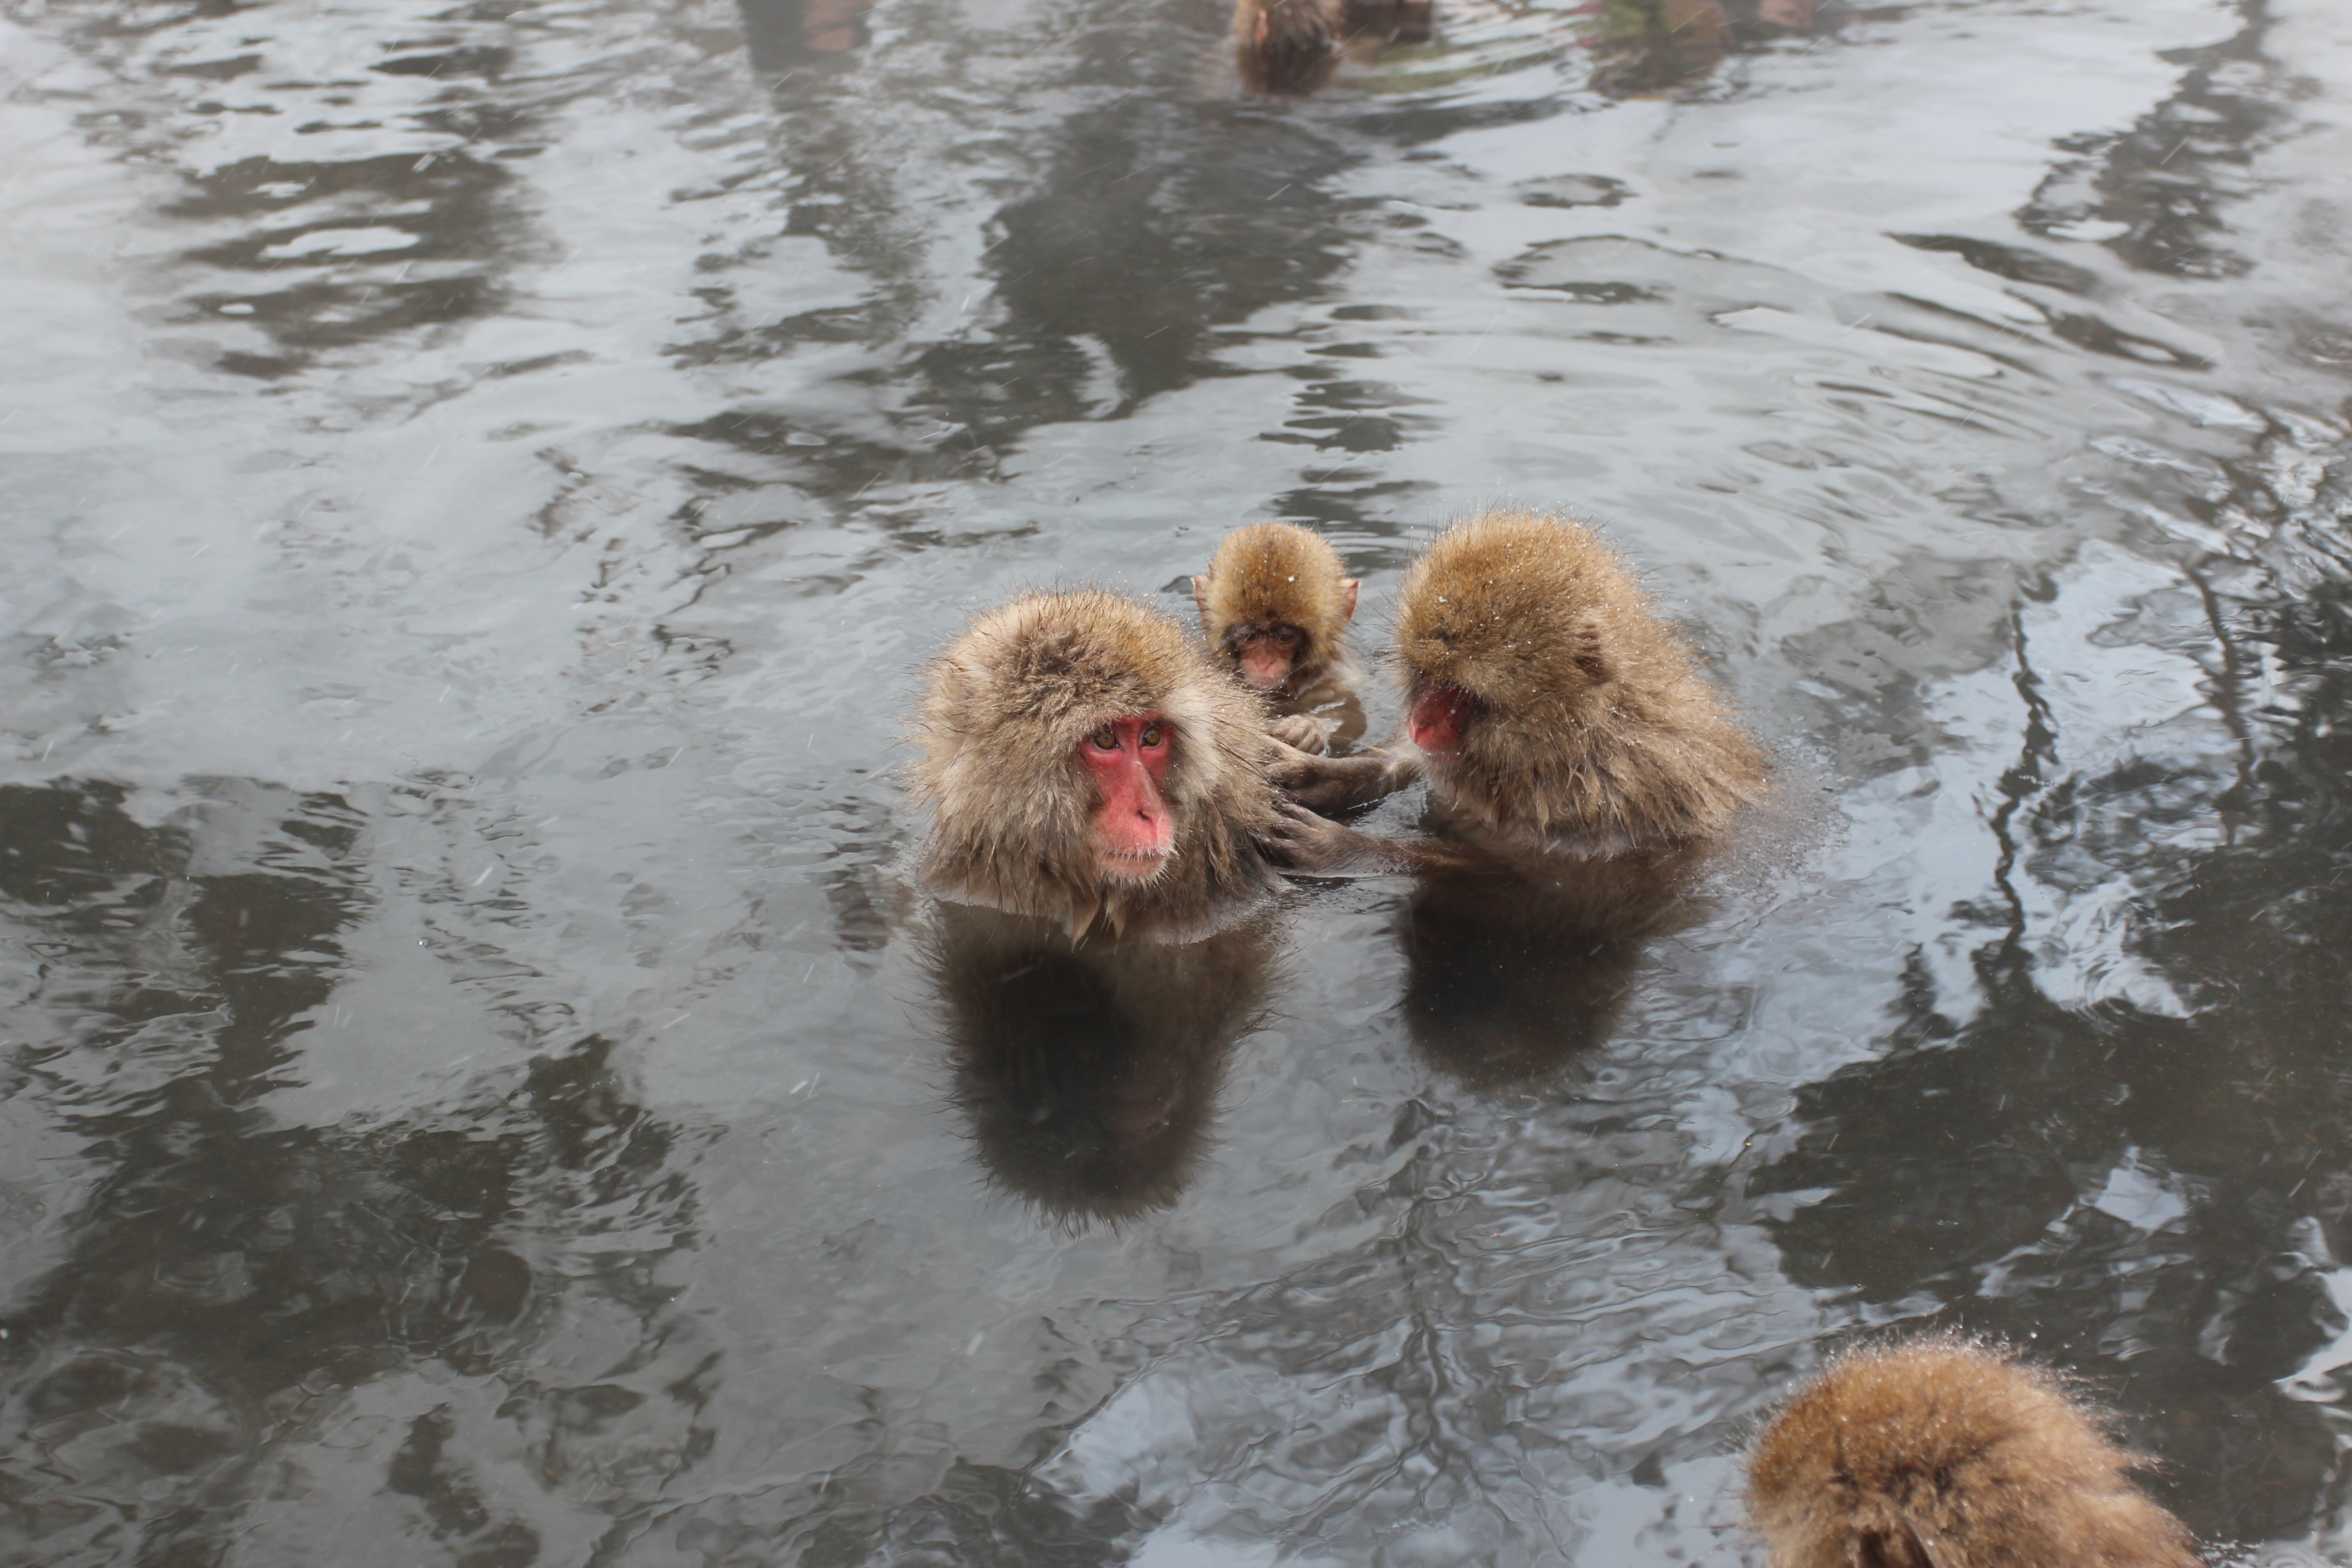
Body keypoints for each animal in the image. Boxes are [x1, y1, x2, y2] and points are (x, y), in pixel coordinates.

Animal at [1204, 517, 1373, 757]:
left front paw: (1311, 728)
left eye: (1284, 637)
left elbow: (1352, 715)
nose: (1264, 663)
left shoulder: (1342, 676)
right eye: (1250, 636)